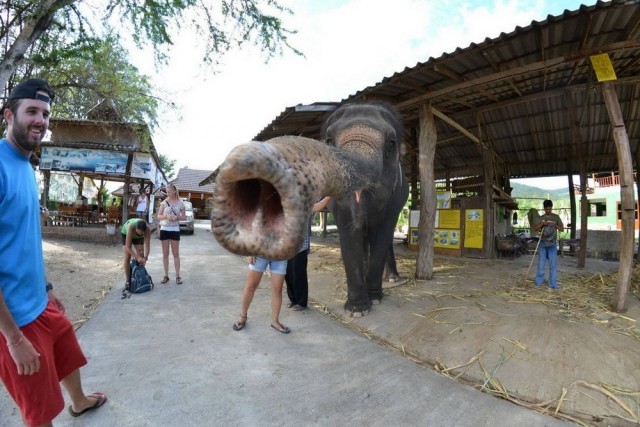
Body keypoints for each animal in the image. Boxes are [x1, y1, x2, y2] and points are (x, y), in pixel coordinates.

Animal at [211, 102, 410, 318]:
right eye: (329, 140)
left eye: (391, 144)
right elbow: (349, 232)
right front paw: (357, 310)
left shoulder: (395, 197)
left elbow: (382, 233)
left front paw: (373, 299)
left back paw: (392, 279)